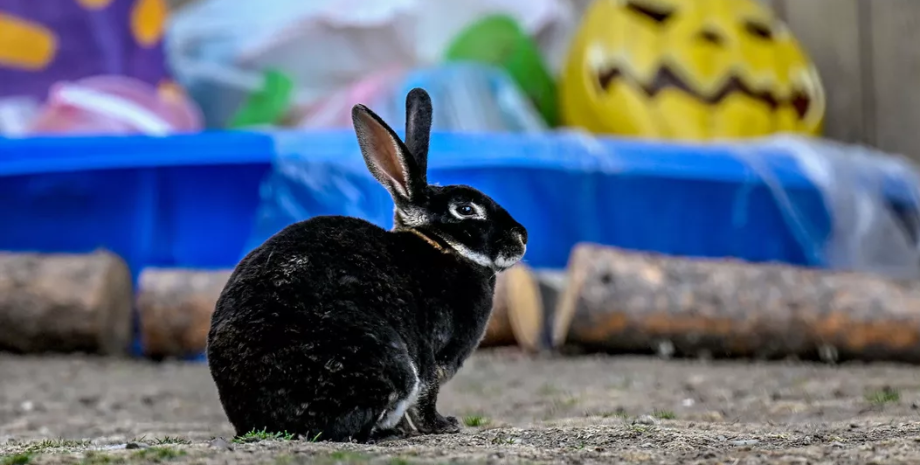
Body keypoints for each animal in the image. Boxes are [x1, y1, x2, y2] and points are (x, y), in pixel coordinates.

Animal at [206, 86, 528, 442]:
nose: (522, 236)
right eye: (467, 209)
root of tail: (263, 419)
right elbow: (427, 395)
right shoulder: (431, 355)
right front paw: (443, 425)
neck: (441, 245)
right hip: (388, 364)